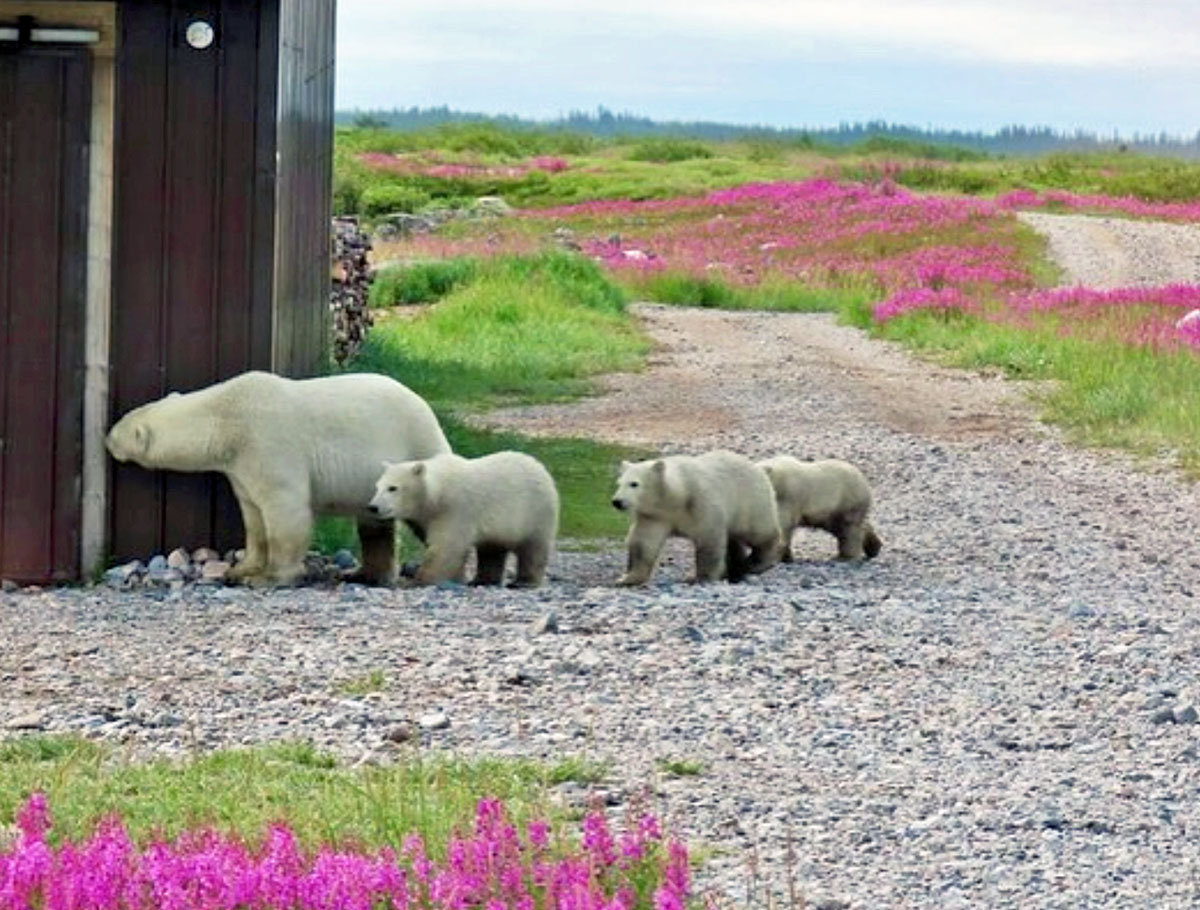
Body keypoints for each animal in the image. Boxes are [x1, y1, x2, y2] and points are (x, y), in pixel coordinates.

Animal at [105, 370, 450, 587]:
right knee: (373, 523)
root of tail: (423, 404)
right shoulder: (239, 467)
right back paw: (365, 574)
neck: (225, 418)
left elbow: (284, 509)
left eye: (120, 427)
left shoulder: (265, 442)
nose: (106, 438)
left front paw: (269, 577)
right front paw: (241, 568)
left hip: (414, 445)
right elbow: (252, 514)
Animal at [367, 451, 559, 587]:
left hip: (534, 511)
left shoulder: (455, 509)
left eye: (393, 488)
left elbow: (447, 546)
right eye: (377, 487)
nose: (373, 507)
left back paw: (524, 582)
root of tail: (540, 467)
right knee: (491, 549)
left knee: (533, 547)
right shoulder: (426, 516)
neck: (437, 493)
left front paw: (417, 580)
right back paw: (481, 580)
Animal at [611, 450, 782, 585]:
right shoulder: (656, 515)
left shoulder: (700, 503)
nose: (617, 502)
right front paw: (627, 579)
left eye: (634, 484)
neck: (678, 495)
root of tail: (758, 468)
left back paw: (757, 563)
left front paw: (699, 578)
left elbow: (708, 539)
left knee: (758, 532)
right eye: (619, 483)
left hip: (749, 501)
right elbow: (644, 543)